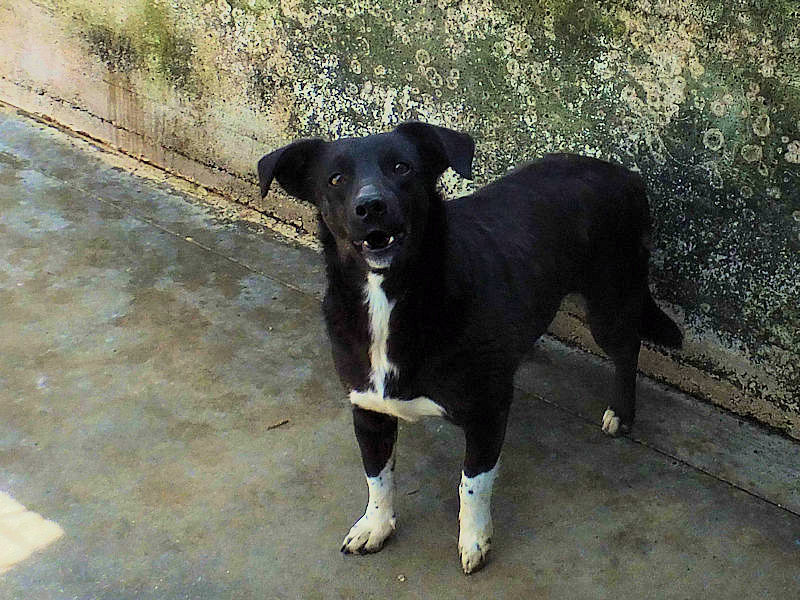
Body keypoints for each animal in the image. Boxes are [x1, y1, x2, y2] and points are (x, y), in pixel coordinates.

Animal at [257, 122, 682, 574]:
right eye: (336, 179)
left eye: (402, 167)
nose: (370, 206)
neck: (391, 298)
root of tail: (624, 173)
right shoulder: (368, 409)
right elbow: (377, 475)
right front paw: (376, 523)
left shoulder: (487, 412)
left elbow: (471, 483)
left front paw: (474, 538)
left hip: (611, 299)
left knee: (627, 350)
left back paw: (622, 411)